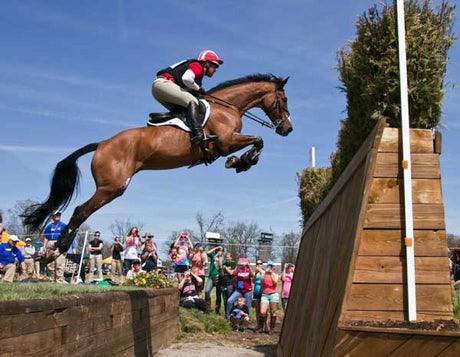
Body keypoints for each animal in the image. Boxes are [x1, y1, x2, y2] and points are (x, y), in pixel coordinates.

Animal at [22, 73, 292, 253]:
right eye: (284, 99)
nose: (288, 129)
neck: (227, 107)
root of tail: (102, 144)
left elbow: (258, 141)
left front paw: (241, 161)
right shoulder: (226, 141)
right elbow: (258, 140)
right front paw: (241, 161)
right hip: (112, 187)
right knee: (80, 211)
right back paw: (57, 249)